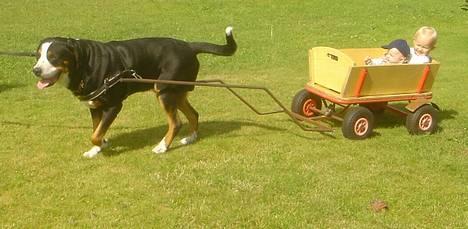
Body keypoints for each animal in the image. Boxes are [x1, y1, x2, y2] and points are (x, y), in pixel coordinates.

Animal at [32, 26, 238, 157]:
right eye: (38, 55)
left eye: (53, 57)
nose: (36, 70)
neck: (86, 63)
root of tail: (188, 46)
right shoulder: (94, 105)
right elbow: (96, 130)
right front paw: (96, 150)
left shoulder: (114, 106)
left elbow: (95, 135)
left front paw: (102, 143)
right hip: (176, 92)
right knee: (193, 114)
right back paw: (191, 138)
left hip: (164, 91)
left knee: (176, 122)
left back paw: (162, 147)